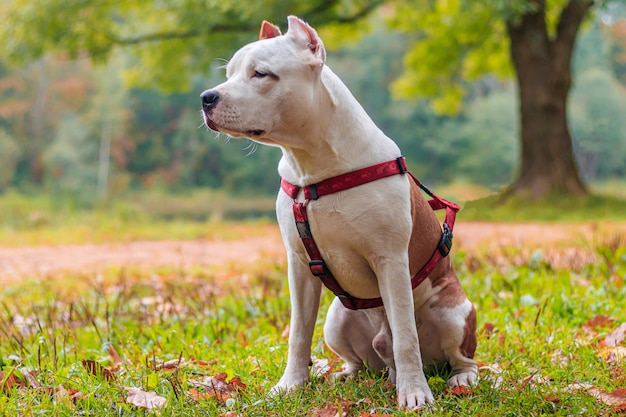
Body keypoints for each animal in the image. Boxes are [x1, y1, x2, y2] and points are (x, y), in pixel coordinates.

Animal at [202, 16, 476, 406]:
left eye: (261, 74)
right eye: (229, 74)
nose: (207, 97)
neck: (313, 164)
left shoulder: (391, 261)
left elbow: (406, 335)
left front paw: (414, 394)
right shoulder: (300, 266)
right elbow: (298, 334)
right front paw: (289, 385)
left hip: (454, 313)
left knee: (456, 356)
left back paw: (459, 378)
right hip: (337, 319)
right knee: (364, 359)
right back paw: (347, 375)